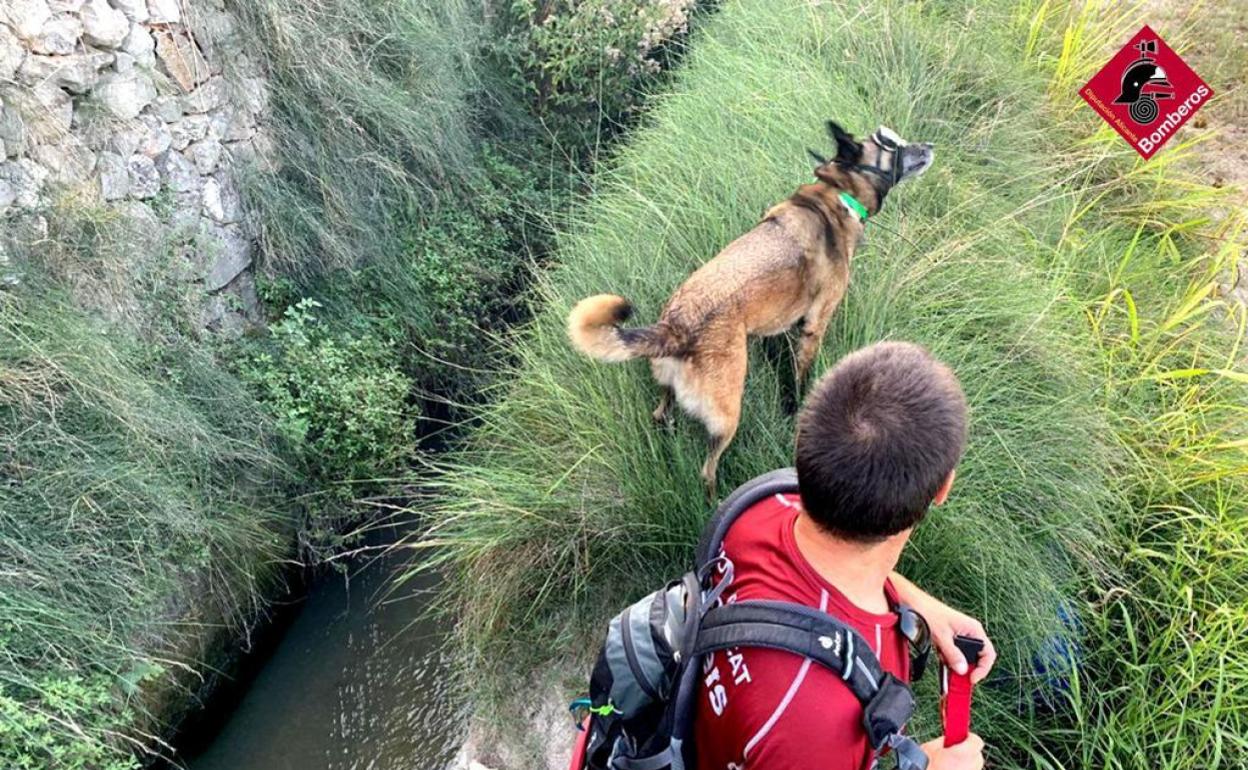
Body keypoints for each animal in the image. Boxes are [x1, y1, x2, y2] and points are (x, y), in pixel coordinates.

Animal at [571, 119, 933, 491]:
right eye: (892, 144)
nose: (929, 147)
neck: (836, 194)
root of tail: (675, 327)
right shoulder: (814, 326)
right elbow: (800, 378)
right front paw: (796, 408)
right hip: (728, 413)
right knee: (708, 469)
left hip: (671, 391)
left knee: (661, 414)